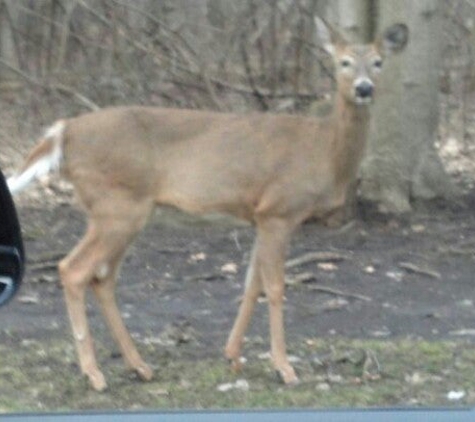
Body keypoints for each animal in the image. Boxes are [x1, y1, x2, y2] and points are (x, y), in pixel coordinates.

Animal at [6, 18, 410, 390]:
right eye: (344, 62)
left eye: (378, 62)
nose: (364, 88)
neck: (323, 149)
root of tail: (64, 132)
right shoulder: (279, 210)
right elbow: (275, 286)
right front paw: (285, 368)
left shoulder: (258, 214)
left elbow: (252, 283)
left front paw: (233, 356)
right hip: (116, 206)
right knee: (73, 269)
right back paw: (94, 374)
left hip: (120, 210)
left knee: (102, 278)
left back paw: (140, 367)